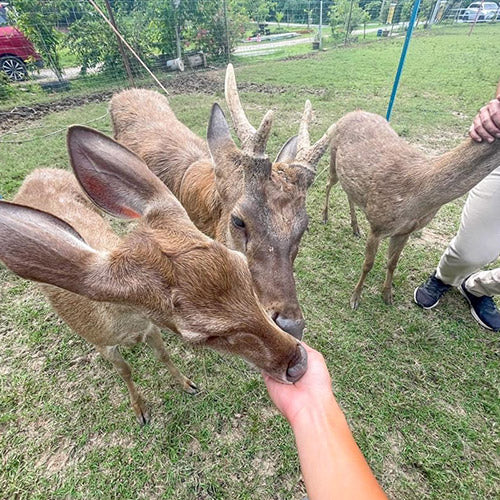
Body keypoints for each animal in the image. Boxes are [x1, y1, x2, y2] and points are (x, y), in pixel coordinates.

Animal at [0, 125, 306, 426]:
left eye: (242, 267)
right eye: (200, 336)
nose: (298, 363)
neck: (124, 326)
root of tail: (35, 173)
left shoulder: (150, 326)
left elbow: (162, 353)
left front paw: (187, 384)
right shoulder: (102, 343)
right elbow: (125, 371)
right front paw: (140, 411)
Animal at [320, 111, 500, 310]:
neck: (417, 200)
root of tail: (350, 113)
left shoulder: (405, 231)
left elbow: (392, 263)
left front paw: (387, 296)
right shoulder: (377, 224)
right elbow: (368, 264)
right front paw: (355, 298)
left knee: (349, 194)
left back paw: (355, 228)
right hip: (333, 156)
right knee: (328, 184)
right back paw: (325, 216)